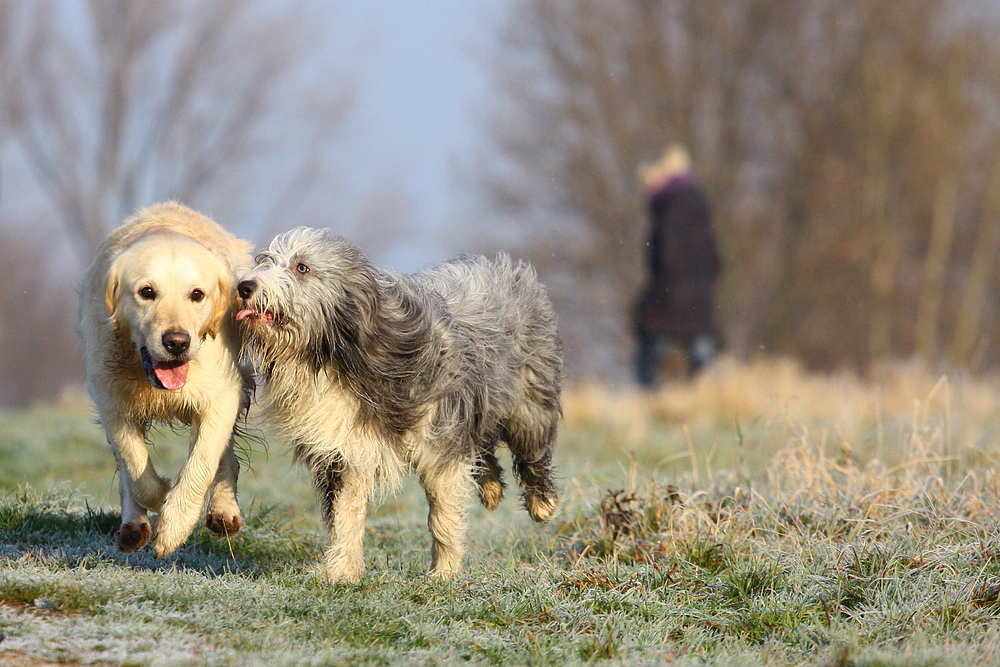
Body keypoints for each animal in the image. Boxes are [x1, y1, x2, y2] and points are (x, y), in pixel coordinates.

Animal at [236, 227, 564, 580]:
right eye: (265, 260)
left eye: (302, 267)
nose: (245, 286)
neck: (338, 351)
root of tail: (506, 266)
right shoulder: (347, 449)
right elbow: (346, 513)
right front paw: (342, 572)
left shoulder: (440, 438)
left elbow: (444, 515)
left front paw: (445, 573)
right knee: (482, 447)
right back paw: (491, 489)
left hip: (528, 402)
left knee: (532, 451)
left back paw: (543, 503)